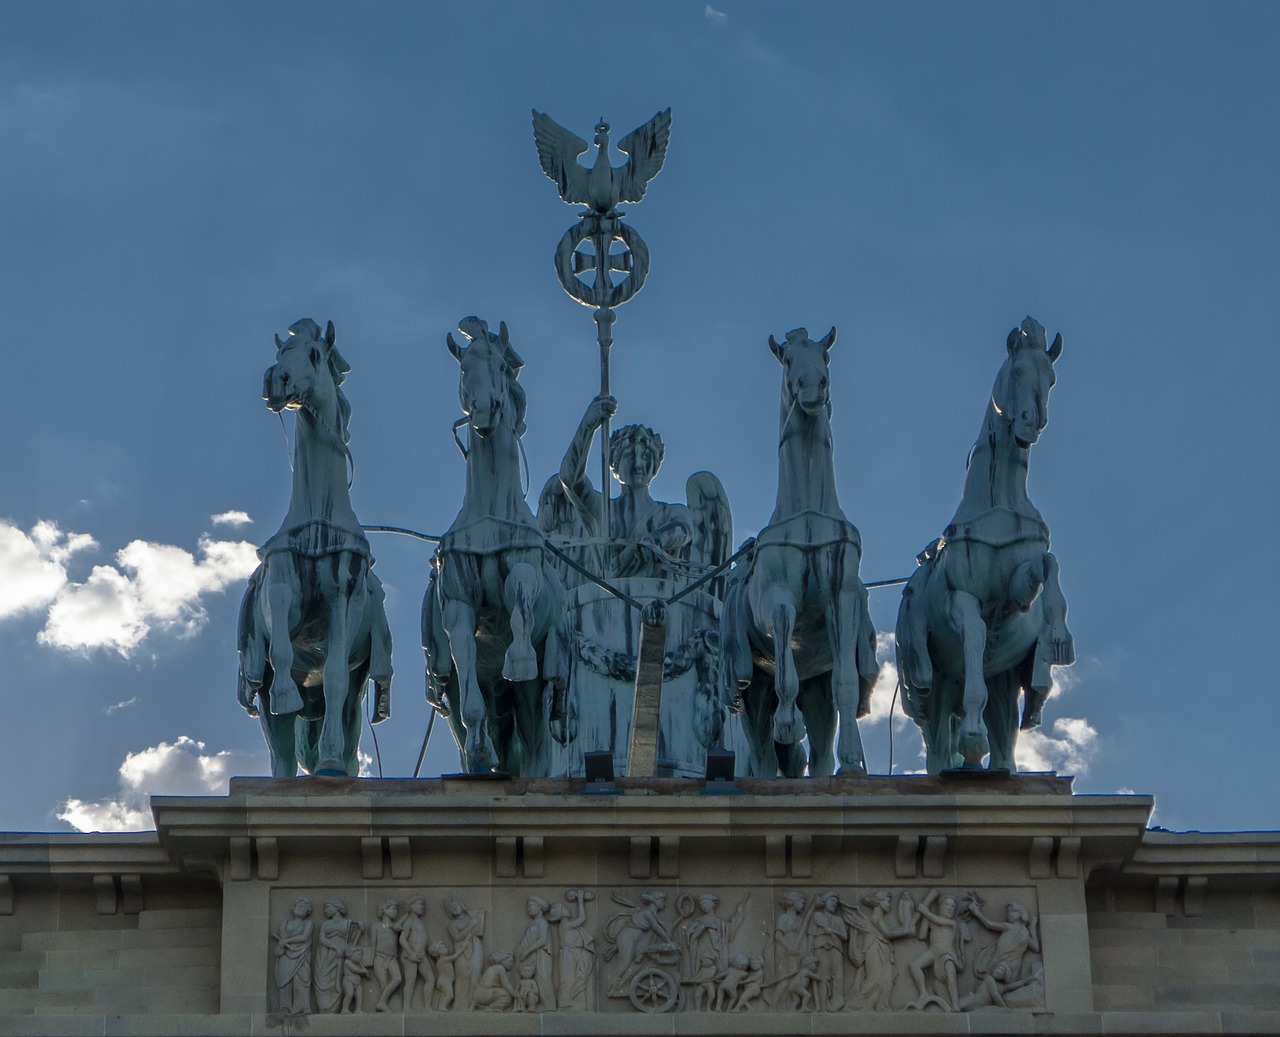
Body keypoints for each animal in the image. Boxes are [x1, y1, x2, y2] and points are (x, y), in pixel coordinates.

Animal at [236, 318, 389, 773]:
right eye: (281, 350)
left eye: (314, 354)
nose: (276, 378)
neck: (318, 520)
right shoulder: (282, 585)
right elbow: (282, 642)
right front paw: (287, 693)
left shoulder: (345, 598)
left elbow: (336, 675)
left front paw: (330, 761)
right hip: (268, 702)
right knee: (282, 752)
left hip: (357, 692)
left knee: (345, 724)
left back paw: (335, 760)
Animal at [422, 318, 568, 773]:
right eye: (464, 368)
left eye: (502, 366)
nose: (486, 407)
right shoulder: (457, 606)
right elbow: (466, 663)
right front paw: (479, 742)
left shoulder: (523, 572)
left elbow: (520, 607)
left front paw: (518, 659)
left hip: (534, 702)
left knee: (537, 752)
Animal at [721, 327, 880, 773]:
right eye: (788, 359)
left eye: (824, 357)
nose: (813, 386)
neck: (808, 512)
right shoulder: (775, 601)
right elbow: (784, 633)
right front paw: (788, 723)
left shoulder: (842, 599)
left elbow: (846, 682)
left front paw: (853, 758)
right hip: (751, 693)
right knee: (760, 755)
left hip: (817, 695)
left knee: (820, 750)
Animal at [896, 314, 1075, 768]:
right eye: (1017, 371)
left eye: (1051, 379)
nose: (1032, 421)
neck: (999, 503)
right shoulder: (962, 599)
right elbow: (976, 636)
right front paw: (972, 736)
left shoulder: (1017, 595)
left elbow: (1049, 566)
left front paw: (1059, 638)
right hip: (933, 691)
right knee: (938, 748)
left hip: (1005, 686)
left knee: (1005, 741)